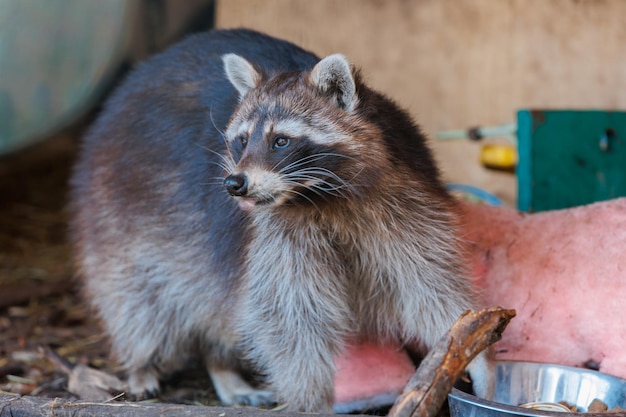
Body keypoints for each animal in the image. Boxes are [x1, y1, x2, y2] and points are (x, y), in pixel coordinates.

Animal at [70, 27, 492, 412]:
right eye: (242, 140)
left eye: (281, 141)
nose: (234, 184)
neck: (321, 197)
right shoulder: (272, 233)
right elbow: (287, 316)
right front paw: (309, 398)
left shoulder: (401, 198)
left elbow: (426, 280)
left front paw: (469, 348)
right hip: (120, 207)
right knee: (140, 295)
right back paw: (145, 363)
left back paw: (219, 364)